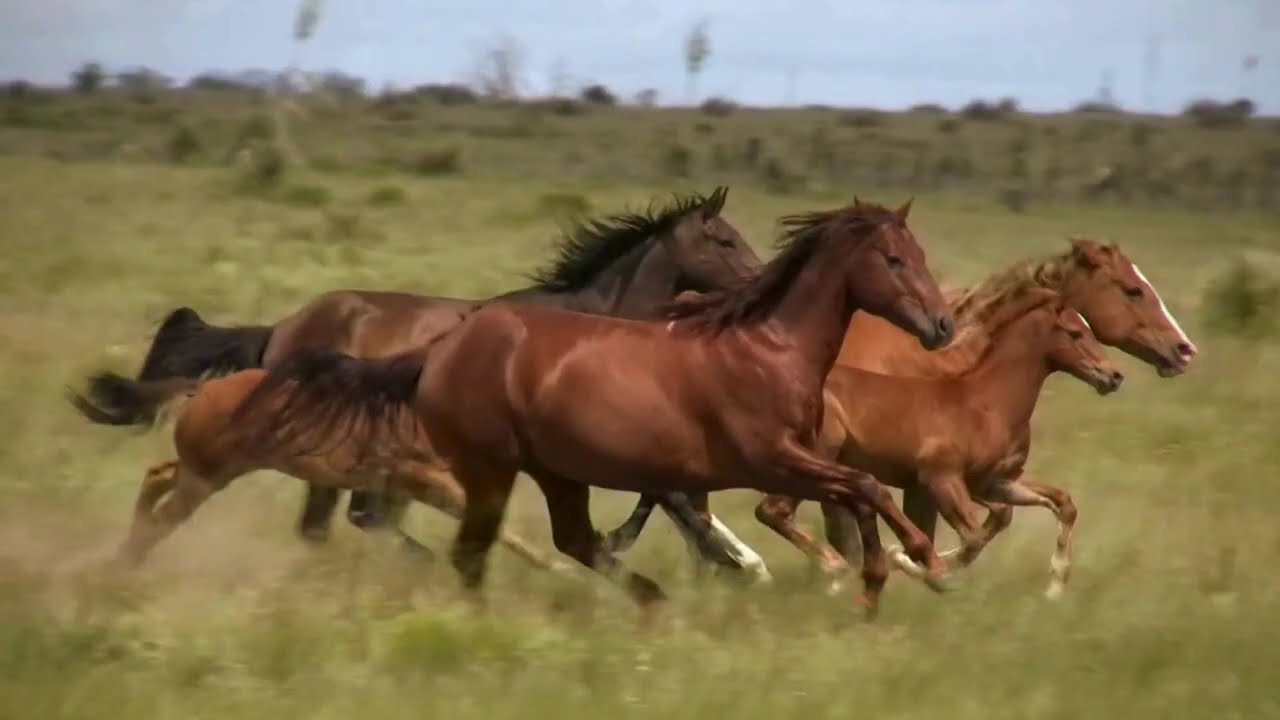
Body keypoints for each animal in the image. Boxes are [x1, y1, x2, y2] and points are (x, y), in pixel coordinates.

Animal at [70, 187, 769, 575]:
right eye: (725, 241)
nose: (763, 284)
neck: (584, 319)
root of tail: (282, 329)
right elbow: (668, 495)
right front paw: (736, 561)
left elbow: (666, 494)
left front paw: (724, 559)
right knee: (335, 520)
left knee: (340, 520)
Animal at [226, 198, 956, 610]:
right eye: (895, 259)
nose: (942, 326)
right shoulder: (764, 458)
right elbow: (854, 490)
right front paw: (915, 560)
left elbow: (850, 494)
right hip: (451, 465)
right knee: (407, 531)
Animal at [605, 236, 1199, 586]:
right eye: (1132, 290)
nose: (1184, 350)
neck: (954, 364)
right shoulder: (919, 475)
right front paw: (895, 567)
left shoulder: (936, 480)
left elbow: (978, 524)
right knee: (686, 503)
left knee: (681, 503)